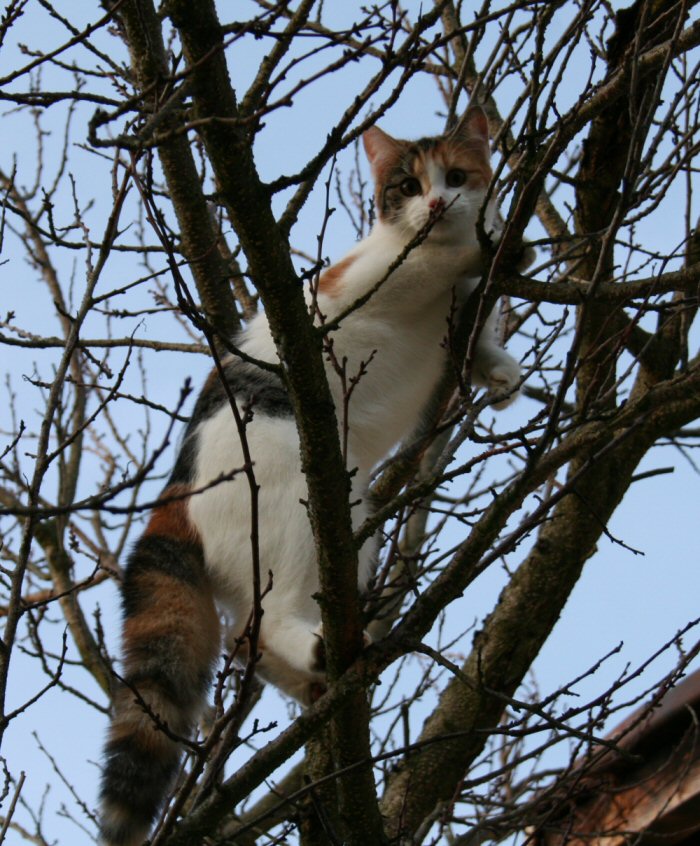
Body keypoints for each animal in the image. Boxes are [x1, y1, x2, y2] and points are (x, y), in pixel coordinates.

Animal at [98, 107, 524, 846]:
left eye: (457, 175)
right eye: (407, 185)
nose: (439, 206)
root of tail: (178, 491)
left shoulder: (463, 315)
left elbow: (476, 337)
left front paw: (499, 374)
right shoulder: (362, 282)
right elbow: (435, 262)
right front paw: (488, 245)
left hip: (340, 524)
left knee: (251, 640)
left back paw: (328, 675)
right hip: (301, 510)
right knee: (262, 627)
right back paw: (324, 655)